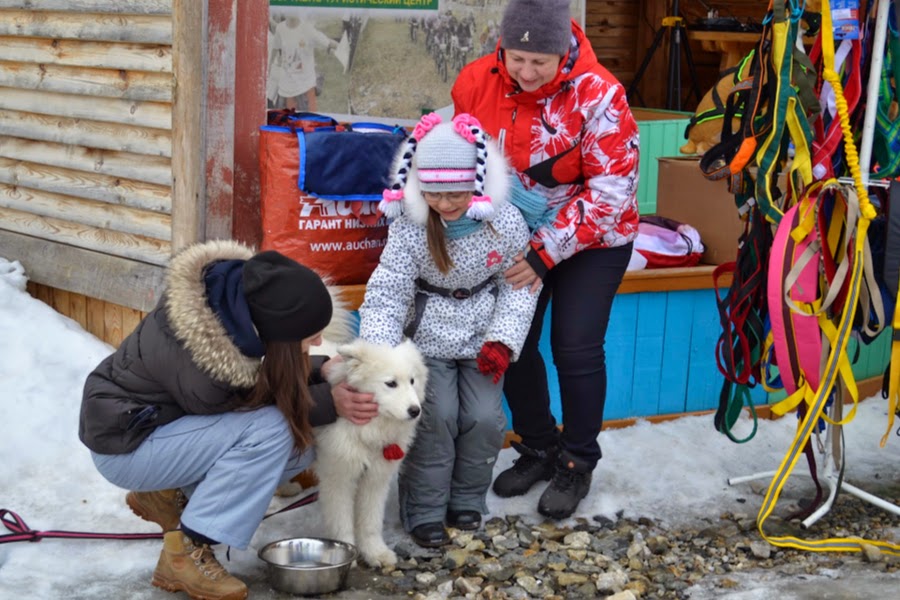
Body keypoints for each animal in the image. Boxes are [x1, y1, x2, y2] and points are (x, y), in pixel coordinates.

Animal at [314, 338, 428, 568]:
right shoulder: (338, 479)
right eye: (391, 383)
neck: (368, 432)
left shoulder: (376, 478)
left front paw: (376, 553)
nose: (415, 411)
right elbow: (341, 521)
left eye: (412, 381)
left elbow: (371, 521)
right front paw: (346, 556)